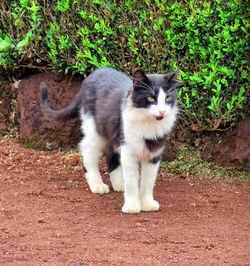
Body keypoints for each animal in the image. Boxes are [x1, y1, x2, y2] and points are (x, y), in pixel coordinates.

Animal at [40, 67, 179, 214]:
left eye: (168, 98)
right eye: (151, 97)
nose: (162, 111)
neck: (148, 124)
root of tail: (92, 75)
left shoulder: (154, 154)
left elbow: (148, 181)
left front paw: (147, 203)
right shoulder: (128, 151)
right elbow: (131, 181)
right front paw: (132, 206)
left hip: (112, 133)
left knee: (112, 157)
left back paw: (119, 184)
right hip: (96, 131)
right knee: (87, 150)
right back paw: (97, 184)